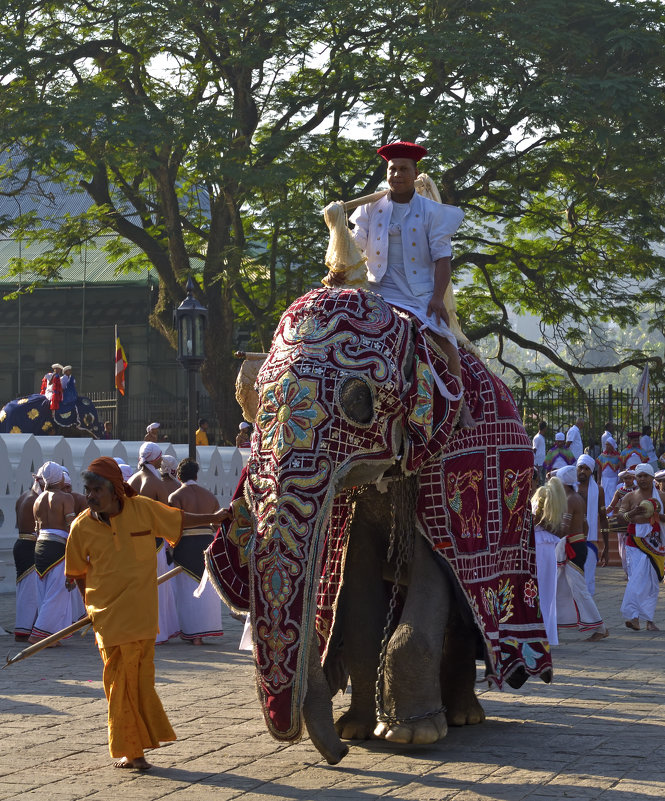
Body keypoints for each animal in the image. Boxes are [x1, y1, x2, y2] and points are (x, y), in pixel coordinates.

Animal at [206, 286, 548, 764]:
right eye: (256, 401)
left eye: (357, 402)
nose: (337, 757)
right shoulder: (357, 507)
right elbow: (359, 598)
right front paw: (356, 731)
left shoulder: (437, 477)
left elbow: (431, 579)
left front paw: (412, 736)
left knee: (464, 612)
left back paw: (463, 716)